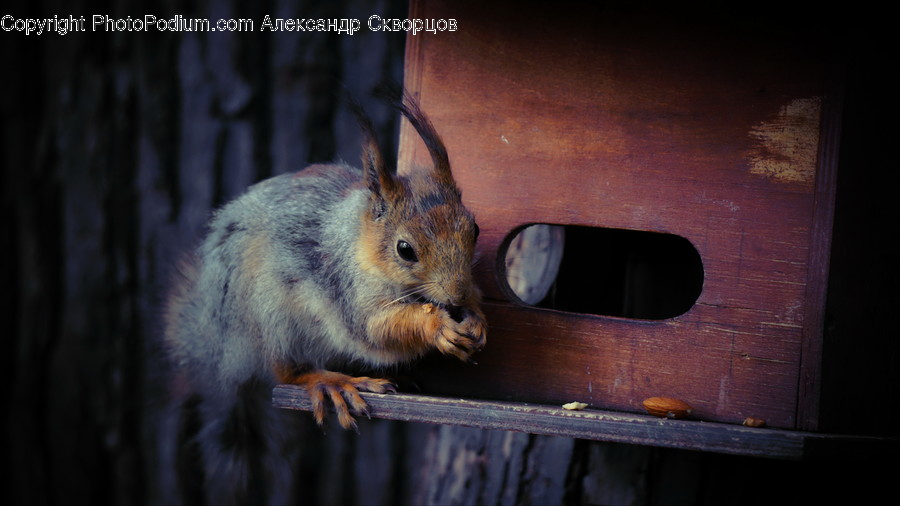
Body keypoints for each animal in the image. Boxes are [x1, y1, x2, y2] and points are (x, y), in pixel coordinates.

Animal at [162, 93, 486, 505]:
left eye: (474, 229)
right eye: (405, 250)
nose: (457, 294)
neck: (358, 244)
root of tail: (219, 348)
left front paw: (475, 315)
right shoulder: (345, 288)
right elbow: (375, 331)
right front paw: (436, 324)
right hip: (270, 313)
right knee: (286, 370)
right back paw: (333, 383)